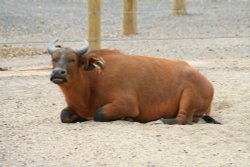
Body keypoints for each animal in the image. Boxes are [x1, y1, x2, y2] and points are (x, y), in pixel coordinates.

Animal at [47, 39, 220, 124]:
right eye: (54, 59)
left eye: (73, 59)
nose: (58, 73)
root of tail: (207, 83)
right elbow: (63, 115)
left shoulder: (127, 104)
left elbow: (99, 114)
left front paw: (126, 118)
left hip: (189, 96)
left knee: (184, 119)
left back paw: (161, 121)